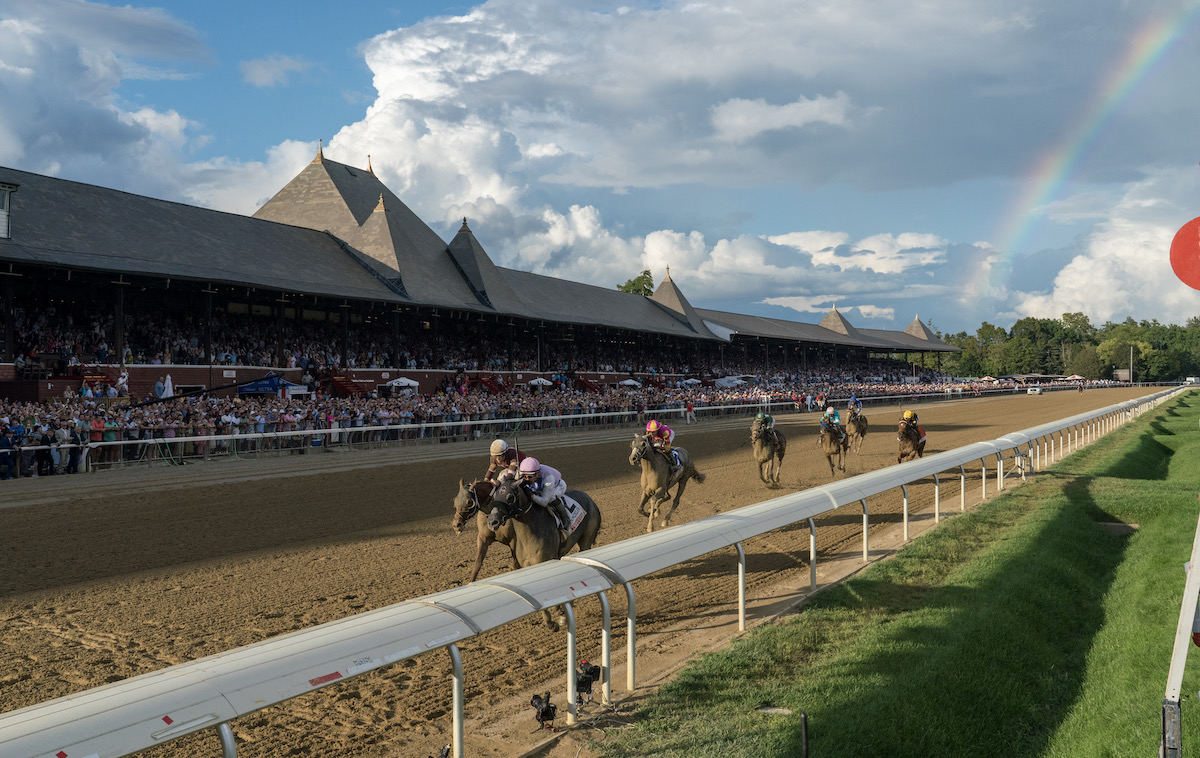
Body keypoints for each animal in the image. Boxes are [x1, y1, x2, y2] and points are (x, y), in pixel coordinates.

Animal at [484, 479, 604, 633]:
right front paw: (550, 622)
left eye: (510, 497)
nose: (491, 521)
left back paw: (564, 615)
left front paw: (558, 612)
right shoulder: (529, 567)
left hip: (586, 542)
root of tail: (589, 498)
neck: (529, 532)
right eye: (494, 496)